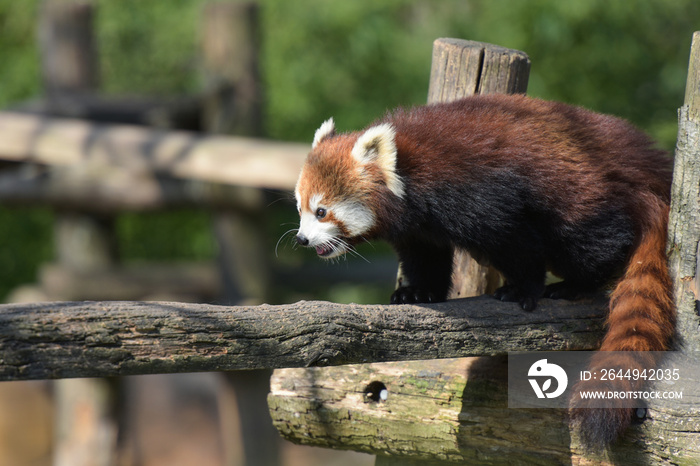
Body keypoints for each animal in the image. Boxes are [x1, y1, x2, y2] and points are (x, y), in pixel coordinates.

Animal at [292, 92, 676, 448]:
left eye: (322, 211)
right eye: (300, 208)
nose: (301, 239)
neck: (410, 170)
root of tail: (650, 169)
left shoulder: (477, 188)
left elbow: (514, 239)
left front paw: (522, 288)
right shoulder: (419, 227)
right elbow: (424, 255)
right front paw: (418, 291)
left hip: (582, 189)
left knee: (594, 237)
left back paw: (578, 282)